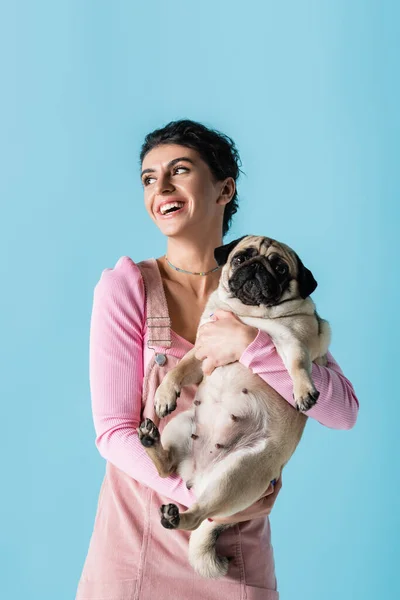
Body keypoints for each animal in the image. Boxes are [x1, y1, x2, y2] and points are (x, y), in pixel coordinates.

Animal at [138, 233, 332, 576]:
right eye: (241, 258)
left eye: (280, 268)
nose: (256, 267)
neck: (249, 314)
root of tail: (198, 476)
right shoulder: (203, 351)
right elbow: (178, 369)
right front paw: (164, 394)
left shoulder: (291, 342)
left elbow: (297, 364)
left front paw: (304, 390)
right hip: (181, 424)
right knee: (166, 470)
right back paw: (151, 440)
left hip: (236, 473)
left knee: (198, 516)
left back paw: (176, 516)